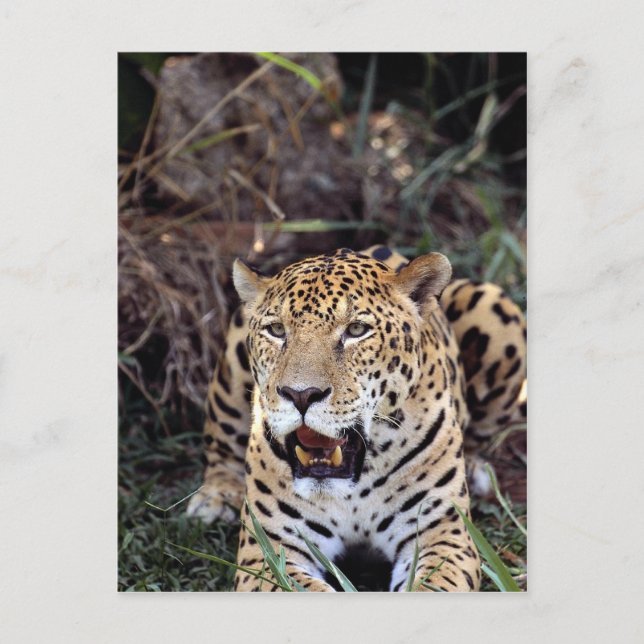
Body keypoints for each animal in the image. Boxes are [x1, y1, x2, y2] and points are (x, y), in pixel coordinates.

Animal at [187, 246, 527, 591]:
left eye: (356, 330)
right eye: (277, 330)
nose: (301, 395)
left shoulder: (442, 533)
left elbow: (434, 584)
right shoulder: (270, 548)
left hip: (494, 307)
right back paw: (215, 498)